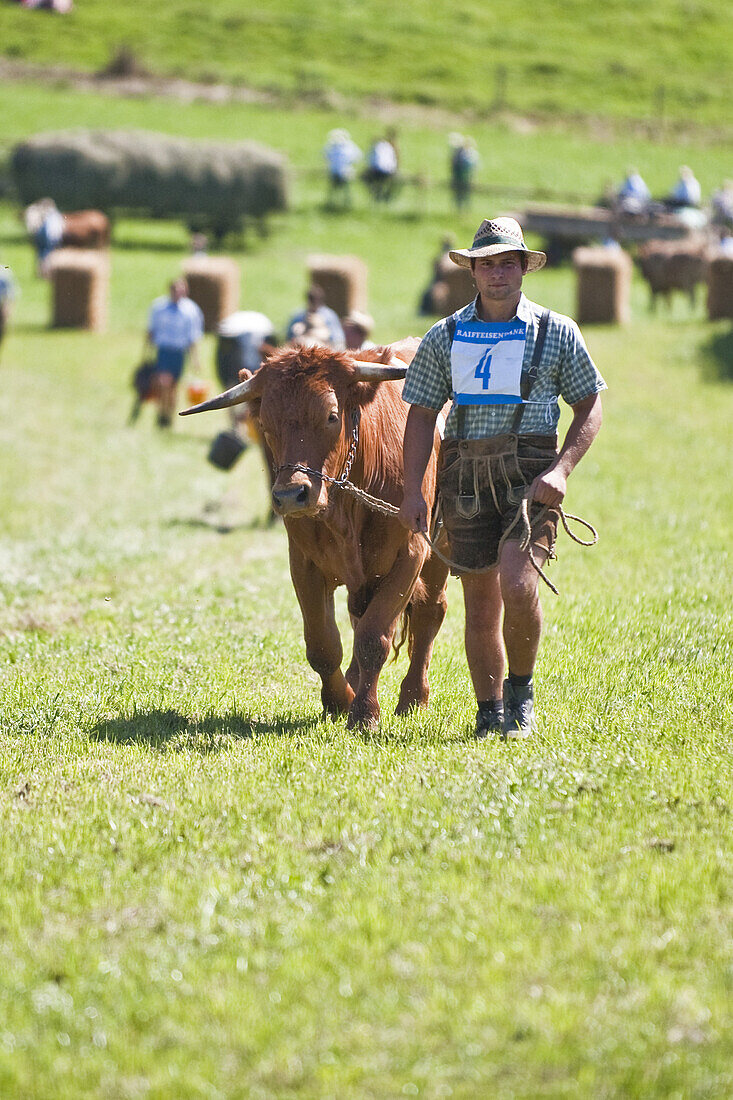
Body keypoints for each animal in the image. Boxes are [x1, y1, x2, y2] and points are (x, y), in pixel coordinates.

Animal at [181, 338, 444, 726]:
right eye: (265, 422)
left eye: (331, 416)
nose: (291, 495)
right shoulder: (303, 563)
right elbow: (322, 644)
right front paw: (339, 700)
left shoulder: (409, 556)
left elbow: (374, 638)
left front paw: (365, 713)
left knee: (429, 614)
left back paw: (413, 698)